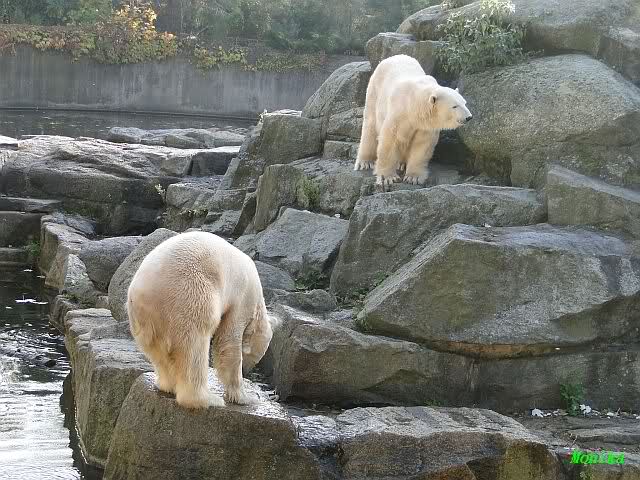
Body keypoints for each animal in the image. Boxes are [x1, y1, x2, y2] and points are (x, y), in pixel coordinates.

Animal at [127, 231, 275, 409]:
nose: (247, 371)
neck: (259, 300)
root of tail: (142, 292)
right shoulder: (243, 298)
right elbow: (229, 340)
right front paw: (247, 397)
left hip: (145, 321)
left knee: (158, 352)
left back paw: (167, 385)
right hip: (190, 293)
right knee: (195, 342)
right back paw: (207, 399)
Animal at [354, 54, 472, 187]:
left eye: (464, 103)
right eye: (455, 106)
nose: (469, 117)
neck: (413, 105)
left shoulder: (424, 125)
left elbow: (421, 146)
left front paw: (413, 177)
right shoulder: (398, 113)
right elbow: (390, 141)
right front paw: (388, 178)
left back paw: (402, 163)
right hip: (374, 91)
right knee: (370, 125)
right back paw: (365, 162)